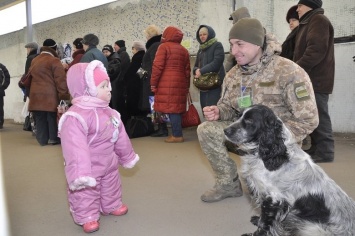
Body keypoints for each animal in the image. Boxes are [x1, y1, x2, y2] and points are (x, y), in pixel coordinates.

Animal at [225, 105, 355, 236]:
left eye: (249, 121)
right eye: (238, 116)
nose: (225, 130)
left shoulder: (274, 199)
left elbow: (265, 223)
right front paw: (257, 220)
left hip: (311, 228)